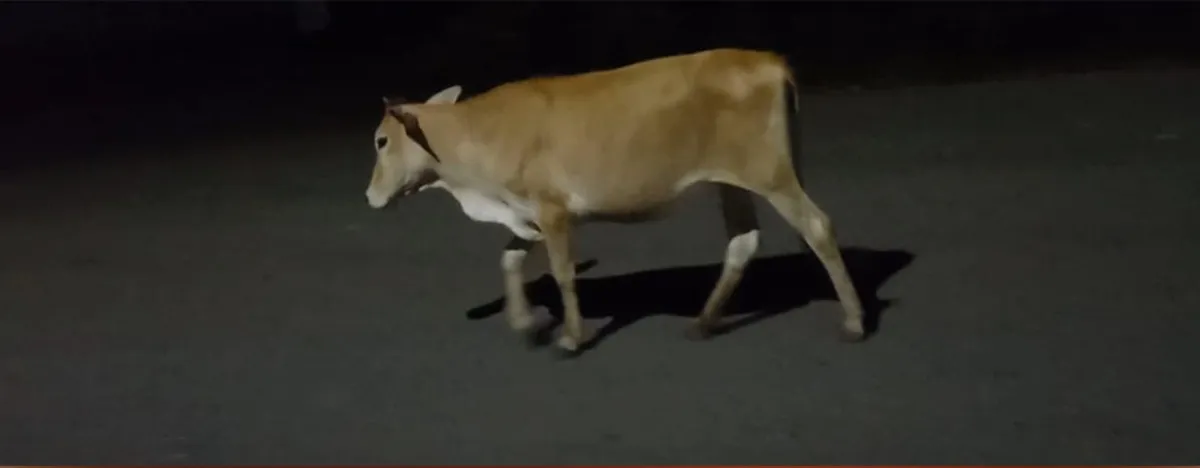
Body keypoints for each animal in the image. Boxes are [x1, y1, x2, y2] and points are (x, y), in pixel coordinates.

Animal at [365, 48, 865, 355]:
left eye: (381, 141)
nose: (369, 195)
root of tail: (769, 61)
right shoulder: (526, 213)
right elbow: (510, 259)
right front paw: (525, 324)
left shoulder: (552, 210)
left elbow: (564, 273)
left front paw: (571, 336)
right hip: (734, 183)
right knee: (743, 242)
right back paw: (703, 323)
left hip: (771, 173)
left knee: (818, 227)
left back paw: (855, 322)